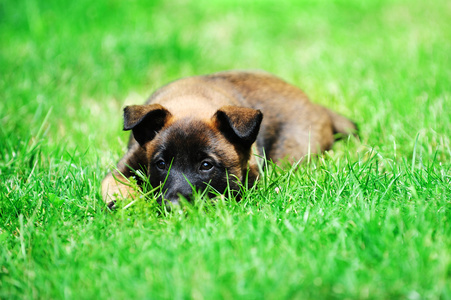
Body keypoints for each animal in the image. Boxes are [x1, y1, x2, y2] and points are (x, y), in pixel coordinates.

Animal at [100, 70, 358, 207]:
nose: (175, 207)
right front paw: (123, 202)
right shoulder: (125, 165)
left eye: (206, 165)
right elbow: (115, 184)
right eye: (161, 164)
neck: (191, 102)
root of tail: (316, 106)